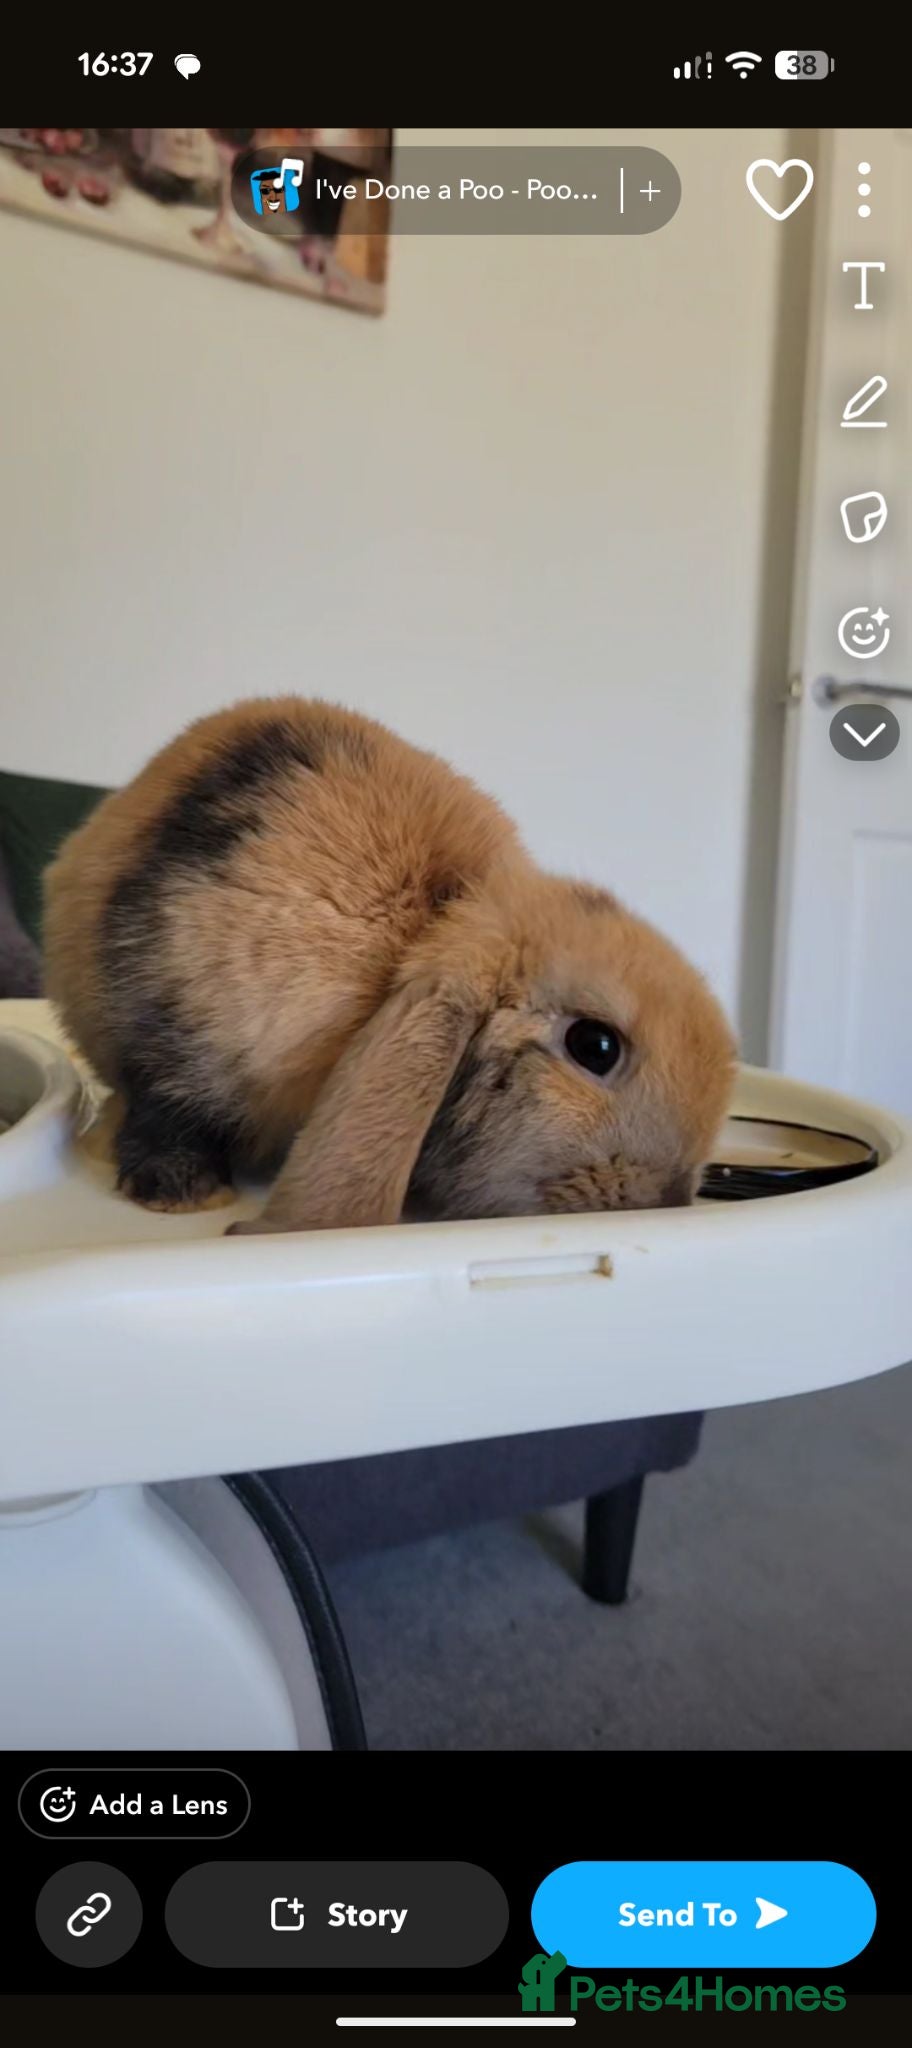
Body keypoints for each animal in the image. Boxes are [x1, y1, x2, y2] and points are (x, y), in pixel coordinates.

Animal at [43, 697, 736, 1232]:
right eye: (595, 1045)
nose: (670, 1197)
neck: (421, 933)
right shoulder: (174, 1023)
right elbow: (167, 1102)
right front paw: (185, 1196)